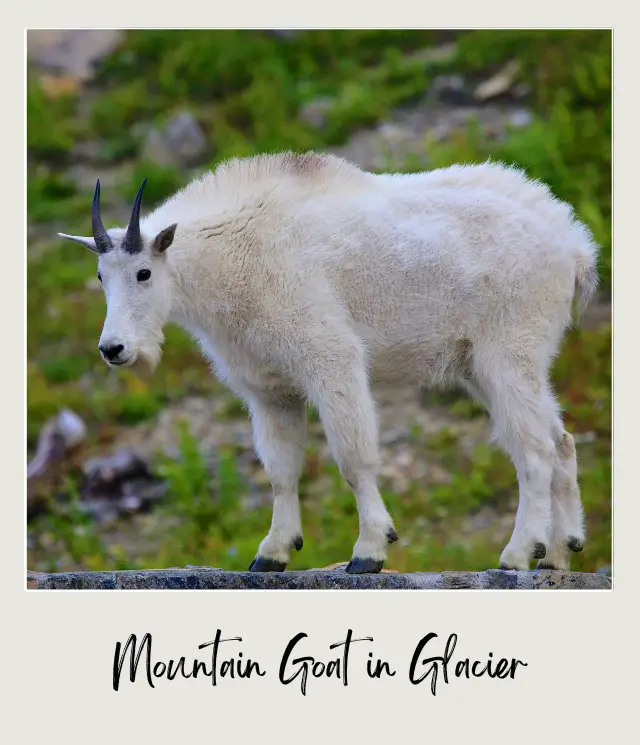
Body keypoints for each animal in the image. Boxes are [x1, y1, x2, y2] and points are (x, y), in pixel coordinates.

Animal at [58, 150, 600, 568]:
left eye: (144, 272)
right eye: (102, 277)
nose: (114, 349)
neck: (235, 256)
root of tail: (574, 247)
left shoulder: (331, 361)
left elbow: (353, 458)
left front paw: (370, 550)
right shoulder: (270, 391)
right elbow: (281, 470)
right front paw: (272, 553)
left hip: (508, 351)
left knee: (534, 450)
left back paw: (518, 554)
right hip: (486, 367)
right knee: (561, 440)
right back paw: (559, 553)